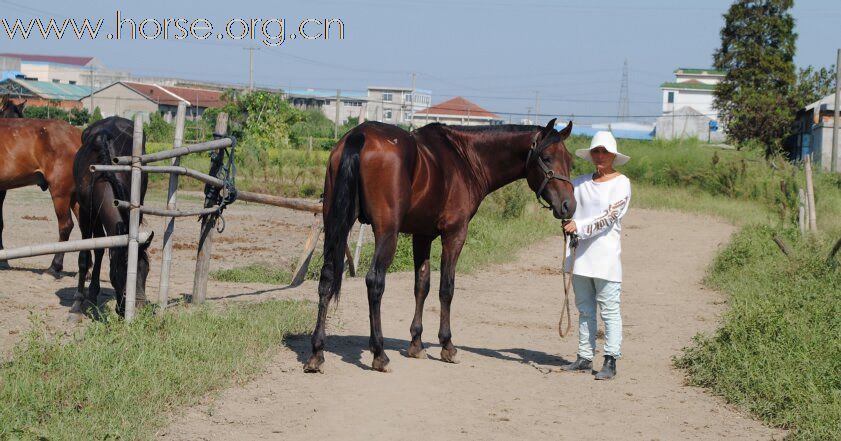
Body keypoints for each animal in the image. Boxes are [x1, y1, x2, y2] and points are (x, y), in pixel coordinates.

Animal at [71, 115, 152, 318]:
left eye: (147, 270)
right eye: (123, 272)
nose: (139, 309)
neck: (103, 174)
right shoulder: (86, 213)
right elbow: (85, 255)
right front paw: (77, 304)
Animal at [306, 117, 576, 372]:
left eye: (570, 161)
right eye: (547, 158)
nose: (568, 206)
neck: (465, 159)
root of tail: (359, 135)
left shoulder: (422, 236)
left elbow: (421, 285)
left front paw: (416, 344)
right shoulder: (454, 234)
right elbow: (446, 288)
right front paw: (447, 346)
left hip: (334, 224)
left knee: (327, 278)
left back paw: (317, 353)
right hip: (386, 232)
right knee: (375, 282)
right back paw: (379, 354)